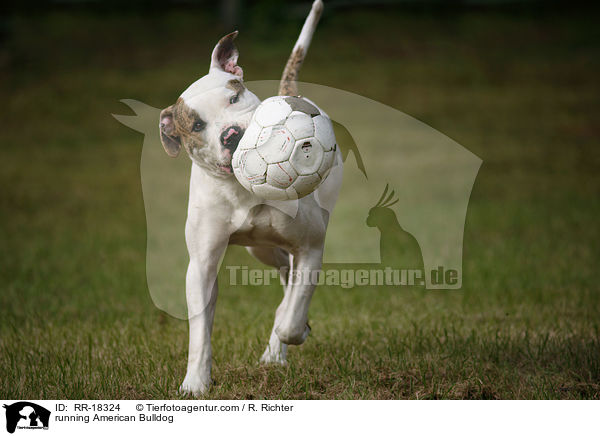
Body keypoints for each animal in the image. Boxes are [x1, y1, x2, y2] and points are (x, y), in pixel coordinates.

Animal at [157, 0, 340, 396]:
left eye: (234, 96)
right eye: (197, 125)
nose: (231, 134)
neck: (243, 189)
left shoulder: (311, 247)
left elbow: (293, 315)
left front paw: (294, 329)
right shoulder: (202, 265)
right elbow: (200, 332)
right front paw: (195, 382)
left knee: (290, 291)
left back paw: (279, 346)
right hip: (262, 249)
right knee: (284, 273)